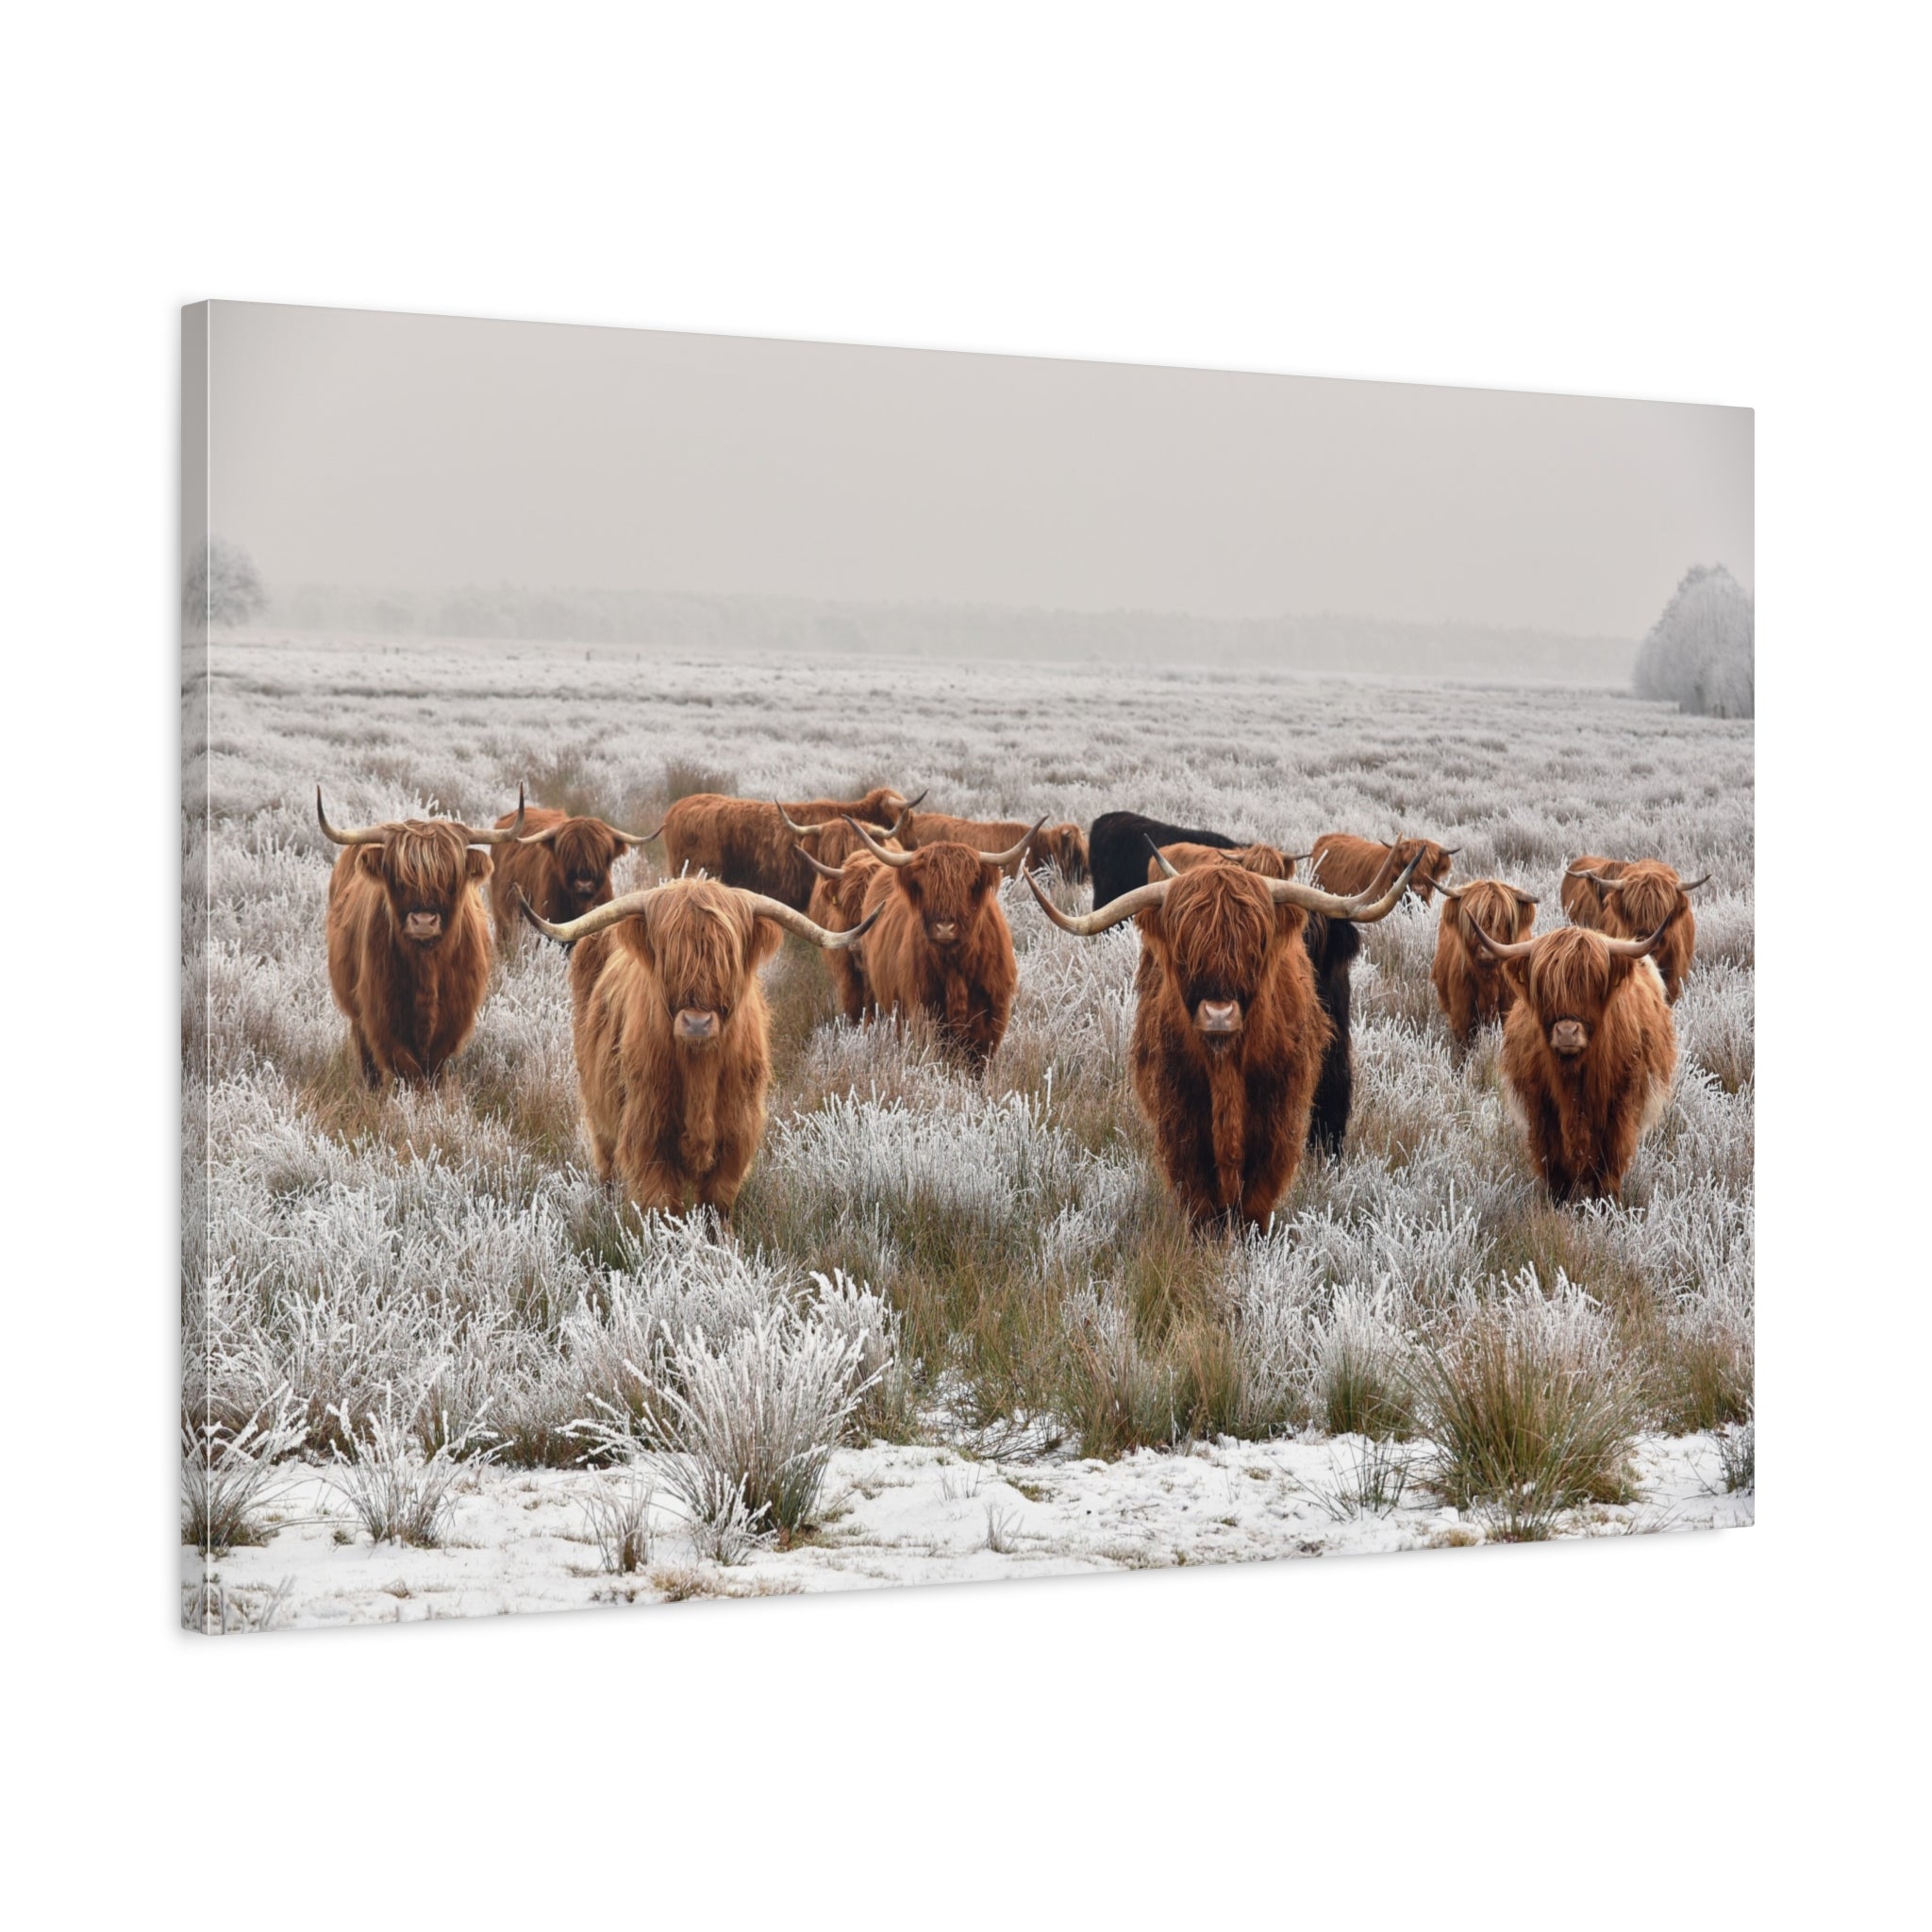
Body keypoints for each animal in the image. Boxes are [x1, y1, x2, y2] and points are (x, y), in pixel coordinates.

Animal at [318, 786, 526, 1085]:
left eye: (452, 878)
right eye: (398, 877)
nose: (424, 921)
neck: (427, 965)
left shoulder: (452, 1022)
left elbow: (431, 1071)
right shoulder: (382, 1017)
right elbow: (408, 1070)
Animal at [520, 877, 879, 1216]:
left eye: (727, 956)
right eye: (668, 954)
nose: (696, 1022)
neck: (699, 1070)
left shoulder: (736, 1137)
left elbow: (716, 1207)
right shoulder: (647, 1135)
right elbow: (663, 1208)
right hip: (600, 1113)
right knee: (607, 1166)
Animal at [838, 815, 1041, 1069]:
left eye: (967, 886)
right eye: (925, 886)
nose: (945, 928)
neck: (956, 968)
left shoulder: (992, 1017)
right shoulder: (923, 1012)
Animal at [1022, 850, 1421, 1232]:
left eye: (1256, 945)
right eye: (1184, 949)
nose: (1218, 1014)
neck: (1225, 1067)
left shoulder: (1276, 1115)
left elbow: (1258, 1190)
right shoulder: (1180, 1115)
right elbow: (1199, 1191)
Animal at [1466, 917, 1679, 1203]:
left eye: (1594, 983)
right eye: (1544, 987)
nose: (1567, 1031)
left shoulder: (1620, 1109)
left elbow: (1608, 1170)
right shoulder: (1542, 1111)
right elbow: (1556, 1170)